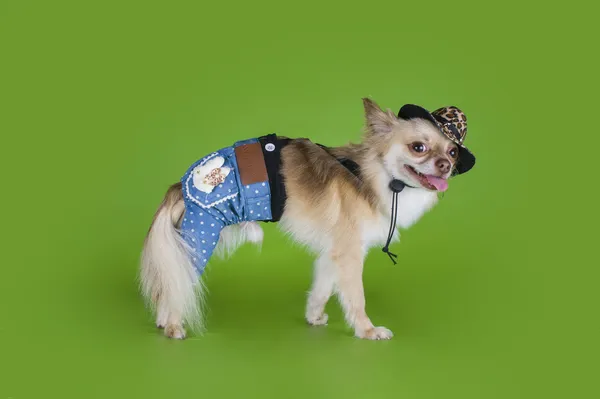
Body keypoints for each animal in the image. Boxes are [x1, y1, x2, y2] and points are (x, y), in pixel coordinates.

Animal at [138, 98, 476, 340]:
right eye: (418, 147)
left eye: (452, 152)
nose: (446, 165)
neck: (376, 176)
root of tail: (181, 184)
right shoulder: (350, 254)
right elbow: (356, 297)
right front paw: (367, 330)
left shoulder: (333, 253)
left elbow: (322, 288)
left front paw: (314, 317)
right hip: (201, 236)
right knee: (177, 283)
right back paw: (173, 326)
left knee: (171, 283)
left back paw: (163, 321)